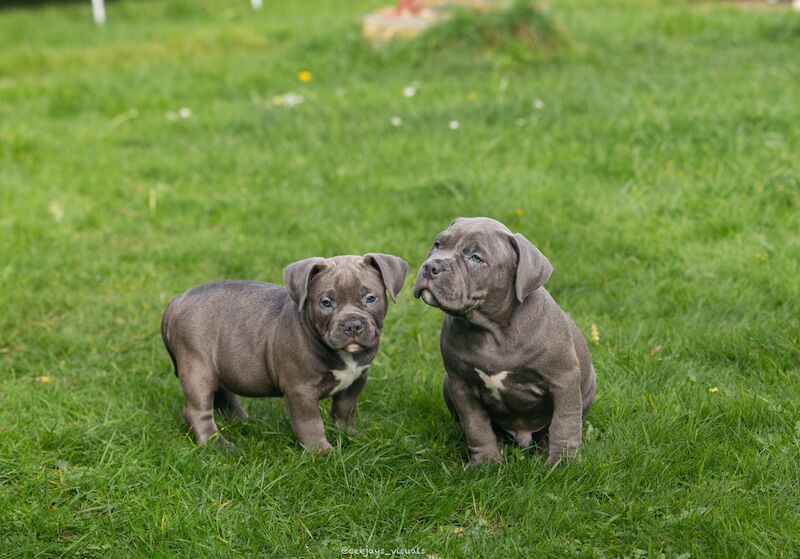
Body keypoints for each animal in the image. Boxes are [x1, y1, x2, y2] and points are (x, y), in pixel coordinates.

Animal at [160, 256, 410, 452]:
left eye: (370, 298)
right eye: (326, 303)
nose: (352, 325)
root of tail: (177, 301)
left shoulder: (356, 380)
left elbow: (344, 411)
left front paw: (349, 437)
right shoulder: (300, 390)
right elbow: (310, 423)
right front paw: (322, 453)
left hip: (218, 366)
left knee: (222, 396)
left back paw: (243, 422)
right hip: (198, 367)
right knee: (197, 410)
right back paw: (217, 445)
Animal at [412, 219, 592, 468]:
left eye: (476, 258)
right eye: (437, 244)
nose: (431, 267)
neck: (491, 331)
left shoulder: (563, 379)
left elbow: (565, 422)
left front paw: (561, 464)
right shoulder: (460, 384)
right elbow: (475, 426)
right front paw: (485, 463)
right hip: (447, 384)